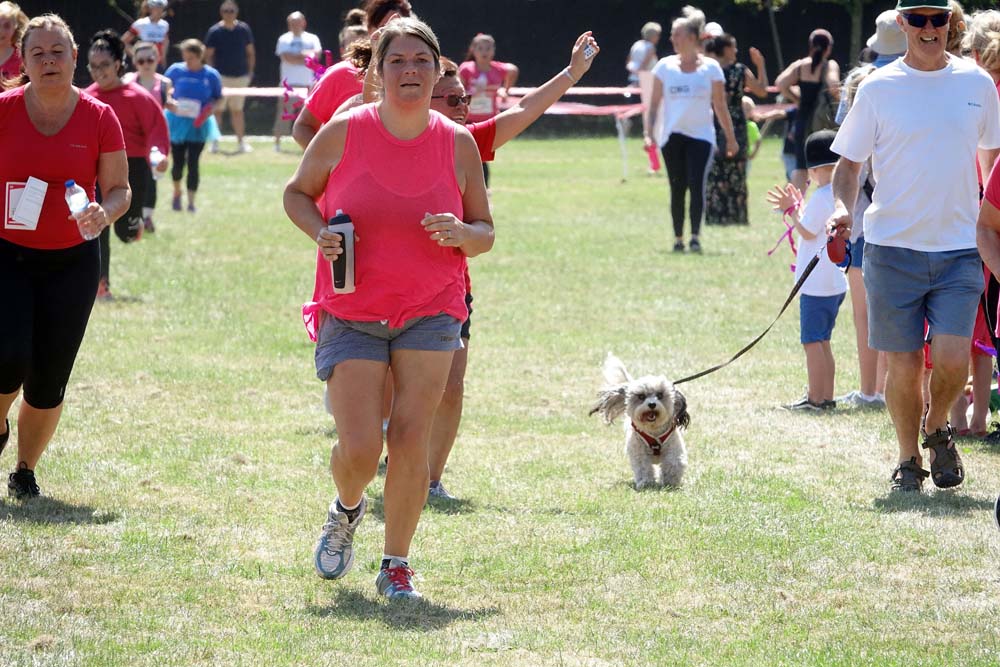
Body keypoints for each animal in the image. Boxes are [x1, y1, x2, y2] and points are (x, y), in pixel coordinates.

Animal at [588, 352, 692, 488]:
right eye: (641, 396)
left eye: (660, 395)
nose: (652, 404)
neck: (653, 430)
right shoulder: (638, 451)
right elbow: (643, 466)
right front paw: (646, 483)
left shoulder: (674, 447)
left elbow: (674, 462)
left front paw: (670, 482)